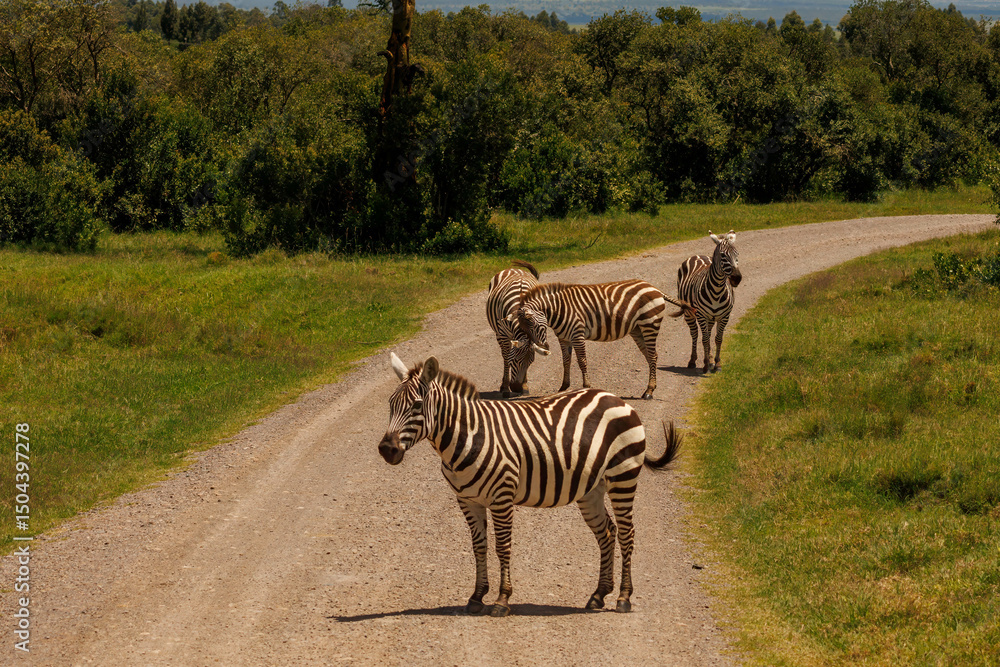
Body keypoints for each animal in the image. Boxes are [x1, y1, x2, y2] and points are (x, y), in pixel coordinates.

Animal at [378, 352, 681, 616]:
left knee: (627, 533)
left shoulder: (501, 497)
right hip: (591, 490)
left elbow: (502, 547)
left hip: (623, 477)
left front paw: (502, 599)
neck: (467, 436)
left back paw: (623, 597)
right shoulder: (467, 500)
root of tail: (616, 399)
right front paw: (476, 597)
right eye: (390, 405)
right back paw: (598, 595)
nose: (386, 450)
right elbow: (479, 546)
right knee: (606, 532)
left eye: (417, 405)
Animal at [486, 259, 549, 397]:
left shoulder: (533, 336)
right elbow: (505, 358)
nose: (516, 388)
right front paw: (505, 388)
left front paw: (525, 385)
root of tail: (514, 269)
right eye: (514, 360)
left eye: (531, 363)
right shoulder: (503, 335)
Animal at [510, 280, 694, 399]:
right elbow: (566, 361)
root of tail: (654, 288)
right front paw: (563, 387)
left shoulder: (577, 334)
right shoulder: (564, 338)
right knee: (651, 356)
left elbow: (582, 361)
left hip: (650, 324)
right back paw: (649, 389)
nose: (516, 388)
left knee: (654, 356)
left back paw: (649, 392)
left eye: (532, 323)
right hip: (637, 330)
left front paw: (586, 386)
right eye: (524, 328)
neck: (558, 309)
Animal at [676, 230, 742, 372]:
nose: (737, 279)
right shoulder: (701, 315)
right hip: (689, 313)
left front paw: (716, 363)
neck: (717, 291)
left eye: (737, 254)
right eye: (723, 255)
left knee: (709, 333)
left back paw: (710, 359)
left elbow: (718, 339)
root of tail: (697, 255)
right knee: (695, 333)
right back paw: (693, 361)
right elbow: (705, 339)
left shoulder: (725, 316)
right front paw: (706, 364)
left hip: (711, 318)